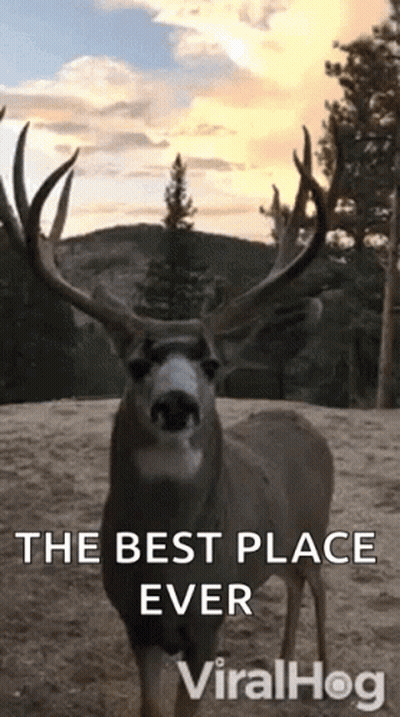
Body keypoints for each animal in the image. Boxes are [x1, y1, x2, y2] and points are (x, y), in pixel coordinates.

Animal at [0, 108, 334, 717]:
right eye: (135, 363)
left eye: (213, 364)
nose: (176, 403)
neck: (169, 568)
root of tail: (305, 424)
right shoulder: (136, 624)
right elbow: (151, 707)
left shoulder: (207, 624)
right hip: (281, 546)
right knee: (294, 584)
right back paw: (282, 663)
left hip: (314, 528)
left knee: (319, 583)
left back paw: (322, 671)